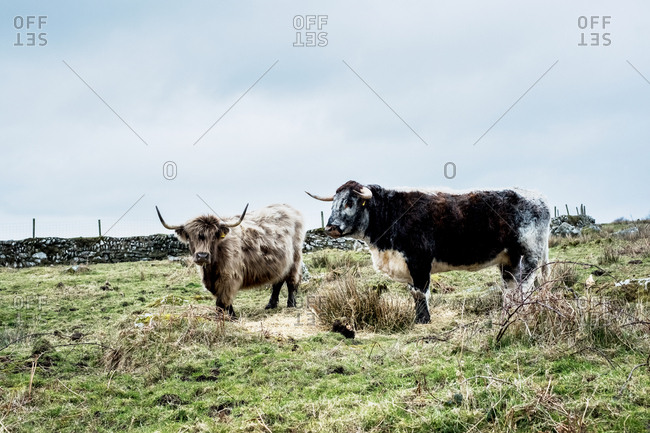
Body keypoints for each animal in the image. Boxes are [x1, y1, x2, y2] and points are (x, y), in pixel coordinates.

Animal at [156, 203, 305, 318]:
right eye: (190, 236)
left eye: (213, 236)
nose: (202, 256)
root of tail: (289, 208)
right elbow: (221, 299)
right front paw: (230, 315)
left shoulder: (229, 277)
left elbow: (222, 300)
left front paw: (225, 318)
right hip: (281, 264)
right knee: (278, 282)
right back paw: (270, 305)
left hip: (295, 259)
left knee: (291, 282)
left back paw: (291, 304)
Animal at [307, 181, 550, 324]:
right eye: (333, 203)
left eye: (350, 202)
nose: (331, 227)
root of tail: (539, 198)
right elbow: (413, 292)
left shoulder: (419, 261)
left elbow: (420, 293)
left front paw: (423, 320)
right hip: (509, 259)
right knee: (511, 288)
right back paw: (508, 313)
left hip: (530, 255)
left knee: (525, 286)